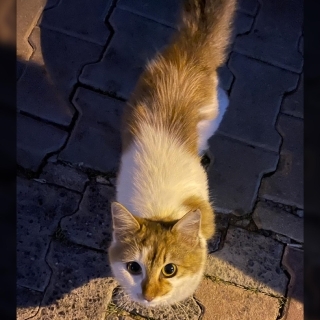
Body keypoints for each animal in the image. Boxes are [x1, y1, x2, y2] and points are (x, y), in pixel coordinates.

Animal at [109, 0, 236, 308]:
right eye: (133, 268)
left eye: (170, 270)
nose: (148, 296)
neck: (160, 210)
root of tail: (189, 50)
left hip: (217, 108)